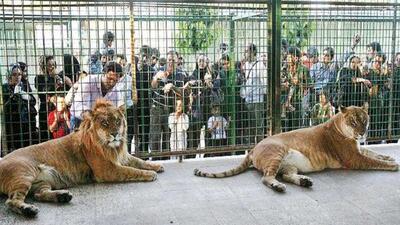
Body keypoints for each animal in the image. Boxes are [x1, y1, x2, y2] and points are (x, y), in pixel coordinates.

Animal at [0, 98, 164, 216]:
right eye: (105, 123)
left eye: (118, 121)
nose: (115, 134)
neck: (112, 147)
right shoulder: (107, 170)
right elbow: (131, 170)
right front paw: (150, 174)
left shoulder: (123, 156)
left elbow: (139, 161)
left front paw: (157, 166)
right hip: (24, 173)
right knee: (11, 201)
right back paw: (29, 210)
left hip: (41, 181)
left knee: (39, 194)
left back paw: (62, 196)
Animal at [194, 103, 396, 192]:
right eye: (353, 121)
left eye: (364, 120)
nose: (362, 133)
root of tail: (252, 149)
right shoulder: (352, 158)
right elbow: (372, 161)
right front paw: (394, 165)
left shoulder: (357, 149)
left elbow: (373, 152)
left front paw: (389, 157)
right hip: (277, 152)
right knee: (267, 178)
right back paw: (278, 186)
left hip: (288, 165)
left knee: (286, 174)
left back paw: (304, 182)